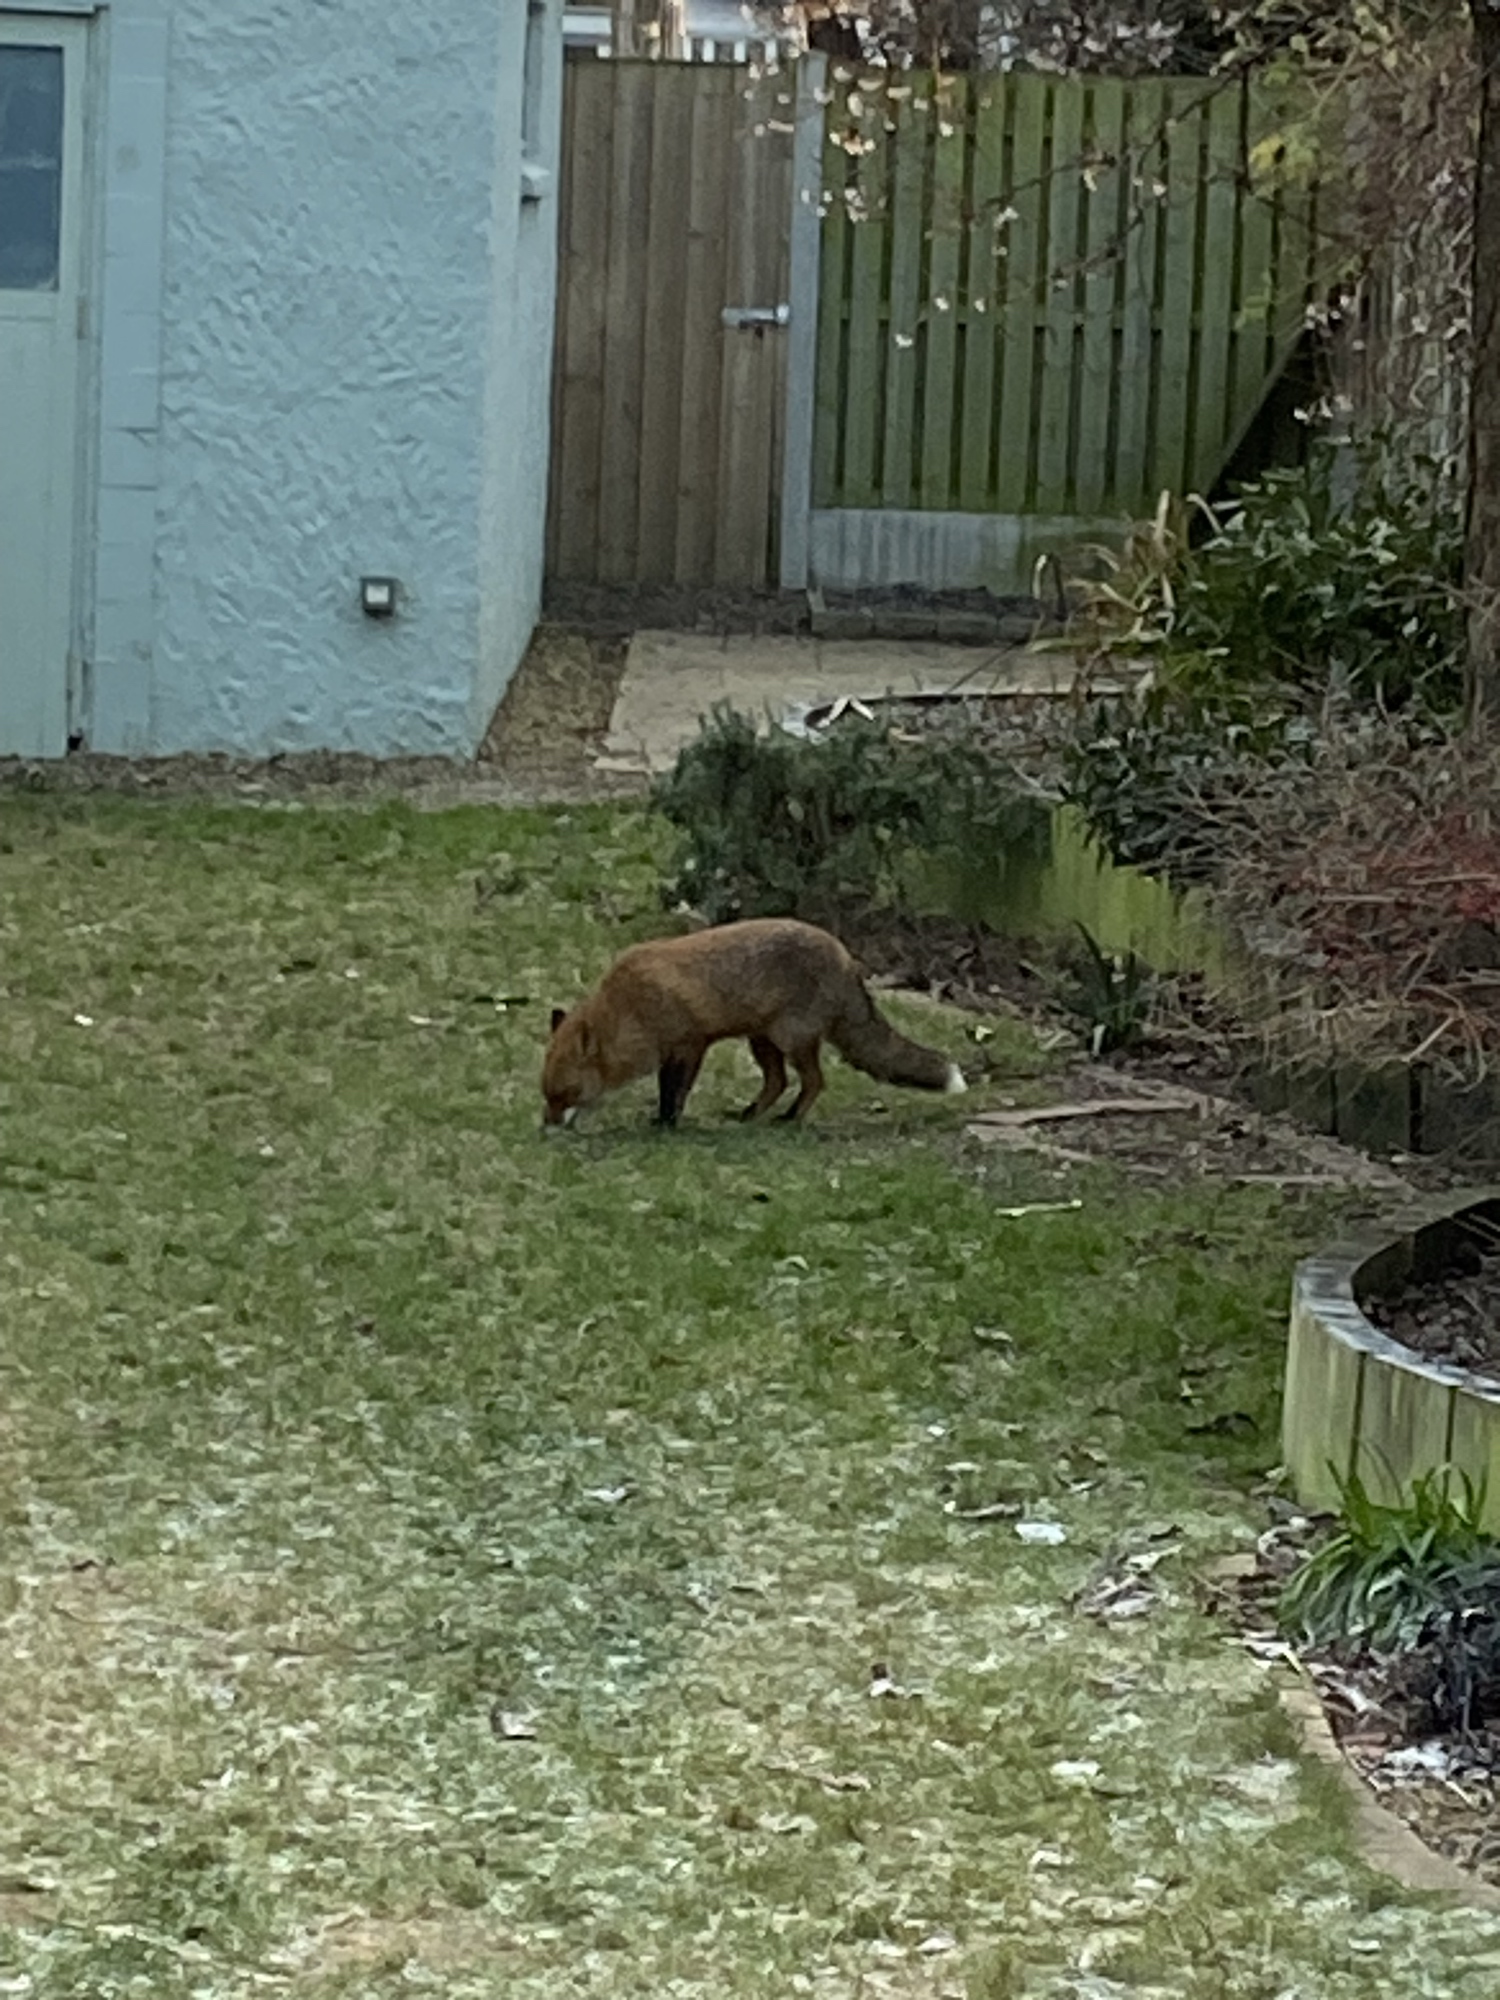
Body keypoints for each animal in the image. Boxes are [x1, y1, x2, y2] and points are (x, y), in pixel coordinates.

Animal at [542, 917, 966, 1129]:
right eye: (546, 1095)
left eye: (564, 1094)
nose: (547, 1128)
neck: (630, 1007)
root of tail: (847, 959)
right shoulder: (675, 1049)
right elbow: (670, 1090)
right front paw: (666, 1120)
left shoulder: (690, 1044)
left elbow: (674, 1091)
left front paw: (665, 1124)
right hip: (761, 1041)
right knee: (777, 1082)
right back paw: (749, 1115)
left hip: (789, 1039)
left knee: (814, 1081)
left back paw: (789, 1119)